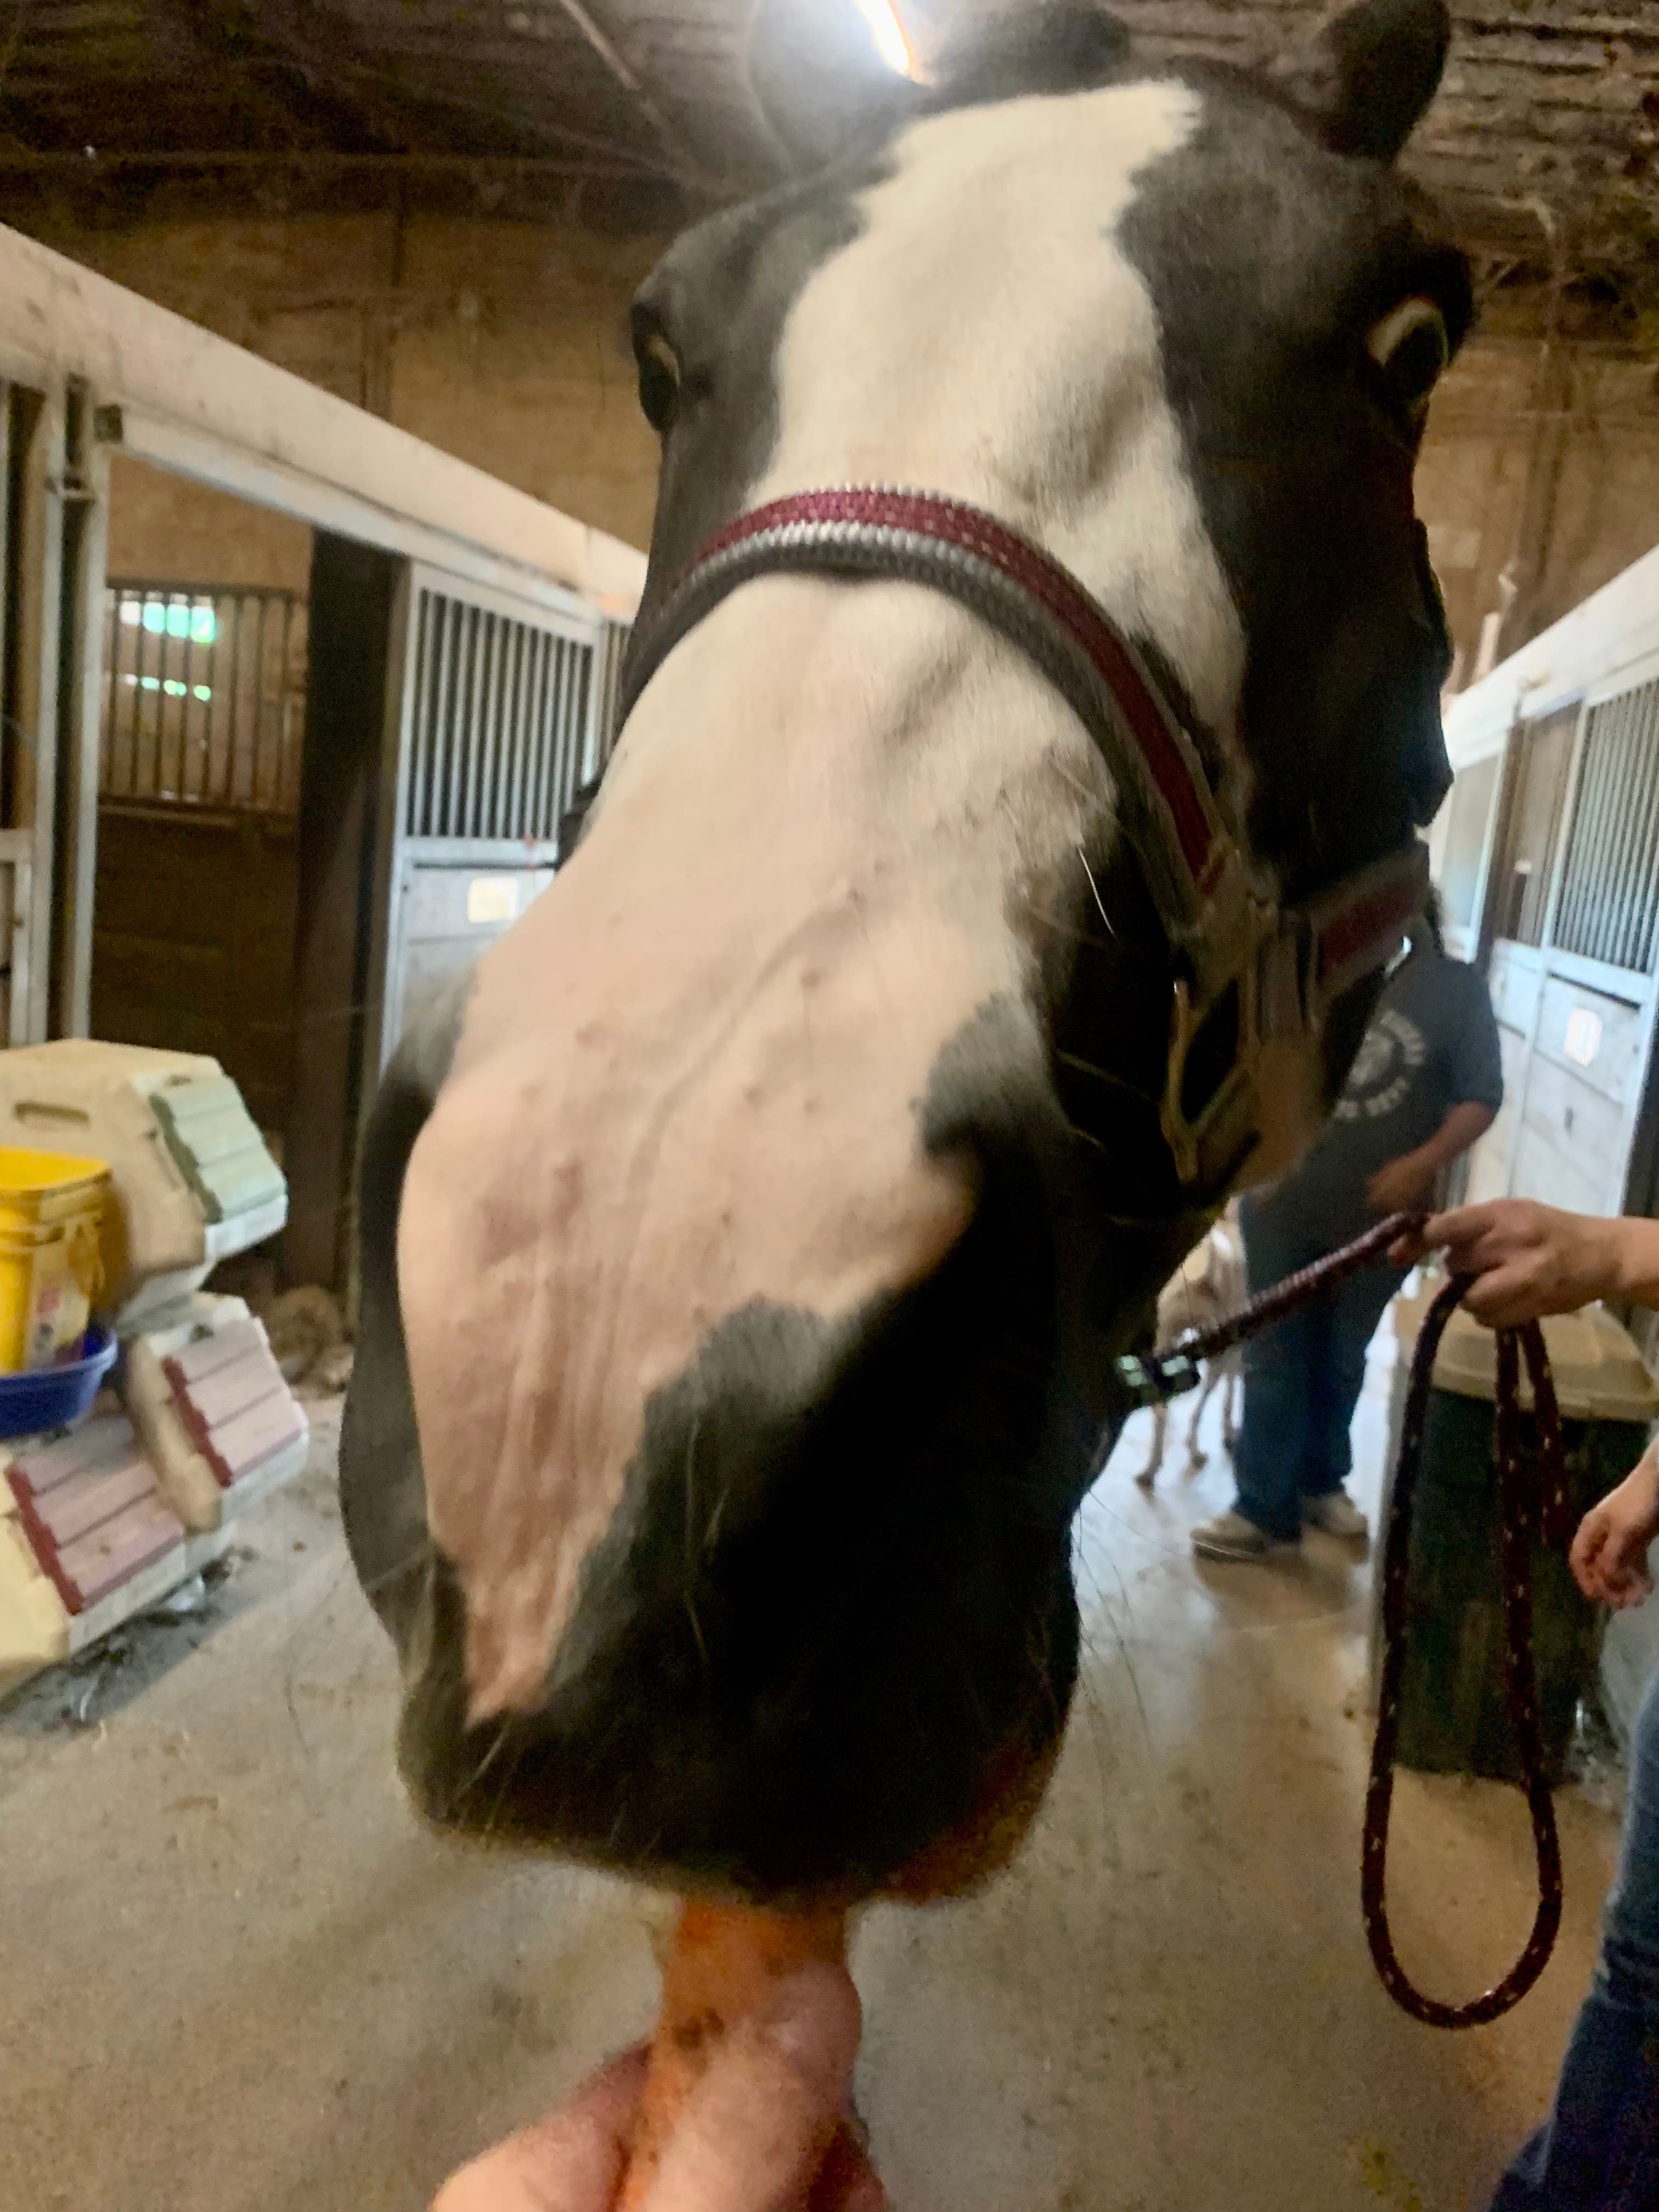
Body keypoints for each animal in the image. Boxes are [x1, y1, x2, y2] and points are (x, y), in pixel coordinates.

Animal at [1135, 1207, 1245, 1487]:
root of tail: (1202, 1277)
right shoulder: (1235, 1348)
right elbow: (1230, 1394)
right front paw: (1229, 1432)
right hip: (1214, 1353)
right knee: (1198, 1408)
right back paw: (1194, 1452)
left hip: (1164, 1340)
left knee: (1163, 1409)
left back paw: (1151, 1470)